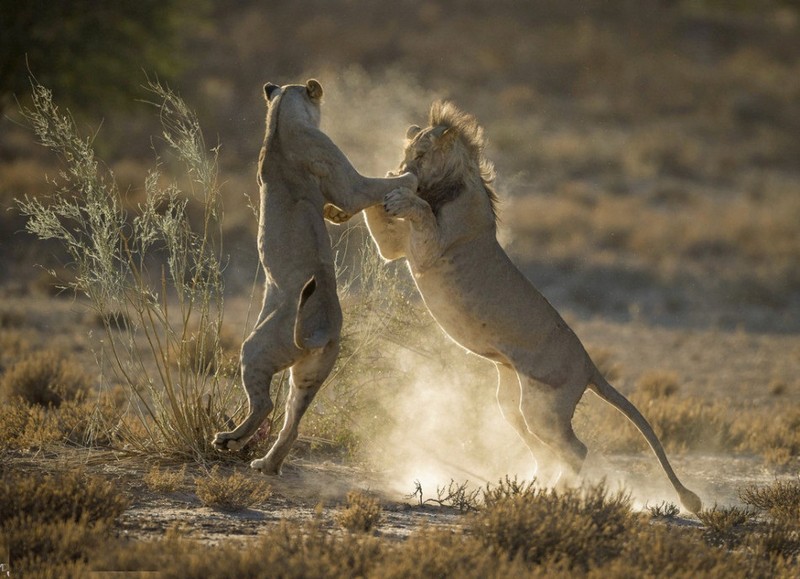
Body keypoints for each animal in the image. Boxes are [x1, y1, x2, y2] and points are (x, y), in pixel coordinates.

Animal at [214, 78, 418, 476]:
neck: (279, 119)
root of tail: (320, 328)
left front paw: (336, 215)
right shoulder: (349, 183)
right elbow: (371, 187)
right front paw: (407, 176)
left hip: (303, 372)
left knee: (285, 420)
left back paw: (258, 459)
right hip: (266, 353)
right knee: (270, 409)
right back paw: (235, 443)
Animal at [360, 102, 700, 516]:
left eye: (421, 155)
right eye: (407, 152)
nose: (403, 167)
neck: (445, 187)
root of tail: (590, 365)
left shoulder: (430, 251)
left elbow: (422, 212)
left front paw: (401, 193)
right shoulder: (395, 248)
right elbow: (379, 221)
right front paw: (383, 182)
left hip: (543, 405)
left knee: (576, 449)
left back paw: (554, 493)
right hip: (513, 400)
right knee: (545, 450)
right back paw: (529, 486)